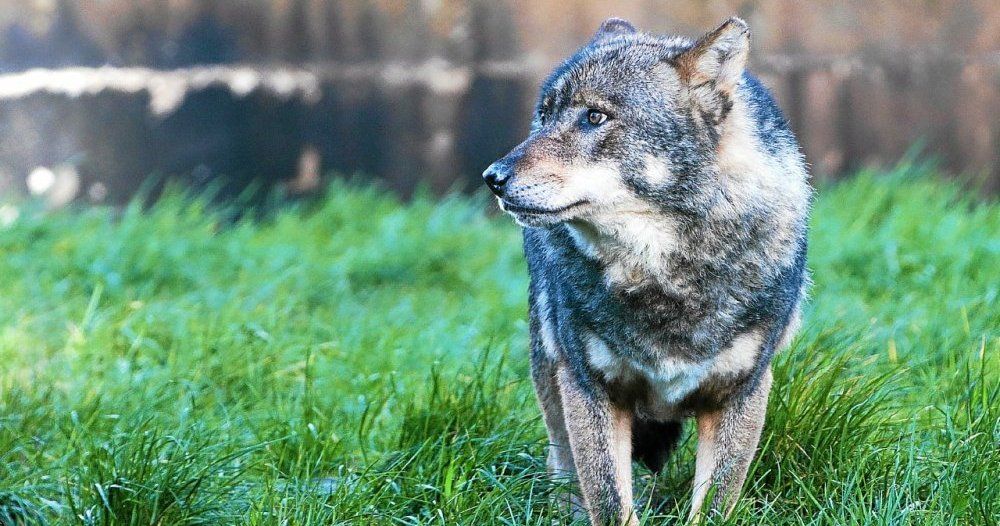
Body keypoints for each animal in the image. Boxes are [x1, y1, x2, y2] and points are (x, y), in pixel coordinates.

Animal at [482, 17, 812, 526]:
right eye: (545, 116)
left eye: (594, 117)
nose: (492, 178)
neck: (663, 278)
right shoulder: (589, 388)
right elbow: (609, 500)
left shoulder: (741, 393)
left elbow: (712, 505)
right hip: (551, 375)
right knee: (563, 467)